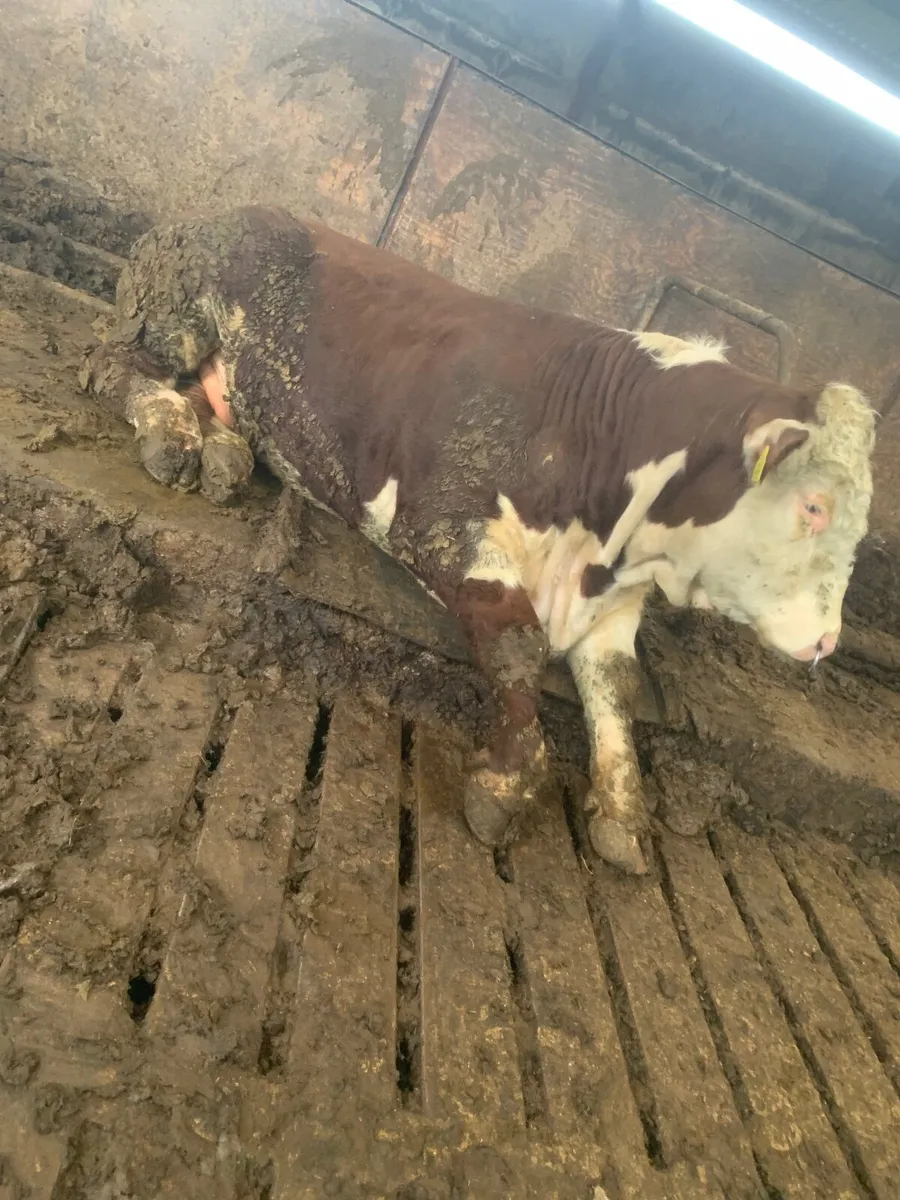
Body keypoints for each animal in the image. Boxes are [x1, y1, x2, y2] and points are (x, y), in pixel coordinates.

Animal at [82, 206, 876, 875]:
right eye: (814, 505)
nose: (827, 641)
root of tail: (233, 209)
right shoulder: (437, 518)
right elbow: (521, 644)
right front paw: (505, 784)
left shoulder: (614, 608)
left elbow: (618, 690)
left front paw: (623, 815)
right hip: (172, 316)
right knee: (117, 365)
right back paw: (173, 436)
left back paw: (222, 452)